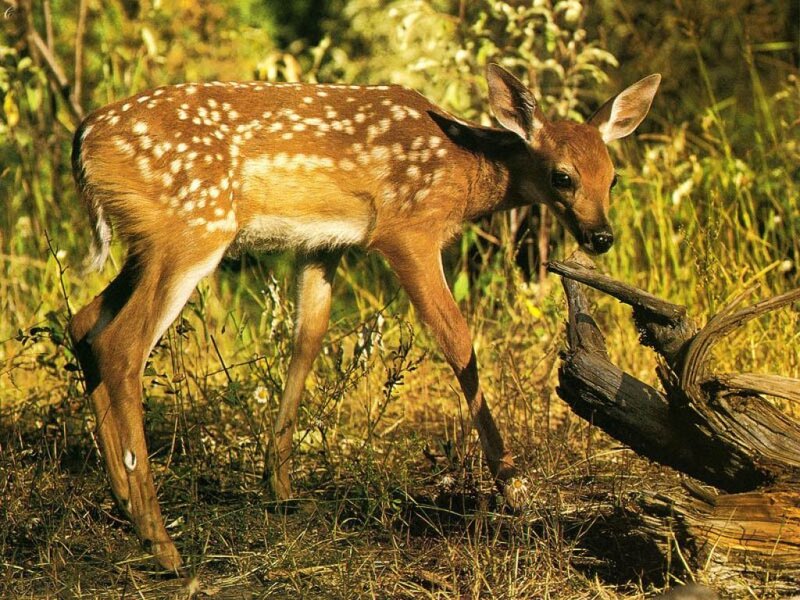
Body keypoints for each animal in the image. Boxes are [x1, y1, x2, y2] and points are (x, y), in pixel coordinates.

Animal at [69, 63, 660, 571]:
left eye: (612, 178)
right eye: (563, 177)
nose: (601, 237)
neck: (462, 171)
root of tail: (82, 141)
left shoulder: (323, 243)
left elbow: (307, 341)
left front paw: (279, 486)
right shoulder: (406, 230)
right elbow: (458, 340)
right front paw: (512, 485)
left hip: (152, 240)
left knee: (85, 322)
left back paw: (125, 503)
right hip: (194, 225)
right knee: (122, 343)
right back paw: (160, 540)